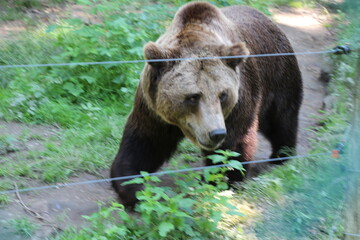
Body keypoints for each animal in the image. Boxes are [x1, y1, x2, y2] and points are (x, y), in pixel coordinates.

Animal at [111, 1, 302, 206]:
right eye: (193, 96)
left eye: (223, 95)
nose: (216, 133)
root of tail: (267, 18)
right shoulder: (152, 107)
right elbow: (144, 143)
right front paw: (133, 187)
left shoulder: (238, 102)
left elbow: (231, 148)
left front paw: (217, 182)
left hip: (278, 74)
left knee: (282, 118)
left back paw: (282, 154)